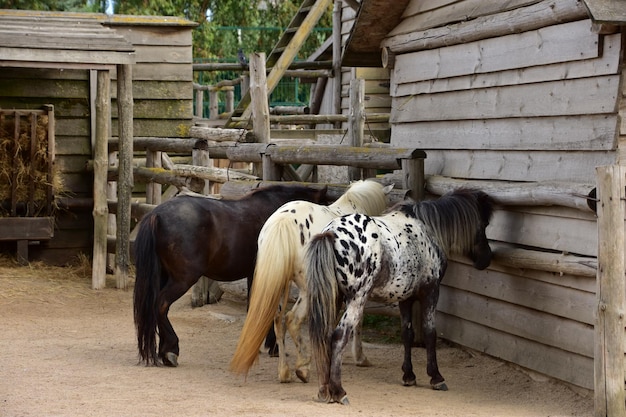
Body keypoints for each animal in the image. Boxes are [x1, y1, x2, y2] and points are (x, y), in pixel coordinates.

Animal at [132, 184, 326, 366]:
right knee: (161, 304)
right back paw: (171, 350)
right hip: (182, 279)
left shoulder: (254, 274)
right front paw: (274, 346)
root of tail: (156, 215)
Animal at [229, 179, 392, 380]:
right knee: (292, 320)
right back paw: (303, 367)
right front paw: (359, 357)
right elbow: (353, 322)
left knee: (278, 321)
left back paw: (285, 371)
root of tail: (282, 222)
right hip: (307, 289)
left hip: (278, 284)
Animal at [304, 188, 492, 404]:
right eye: (484, 224)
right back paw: (339, 392)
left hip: (333, 300)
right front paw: (436, 377)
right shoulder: (431, 292)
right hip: (355, 301)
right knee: (338, 337)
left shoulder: (405, 298)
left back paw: (324, 390)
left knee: (324, 337)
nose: (486, 259)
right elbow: (430, 332)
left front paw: (409, 376)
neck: (428, 229)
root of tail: (331, 233)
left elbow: (407, 334)